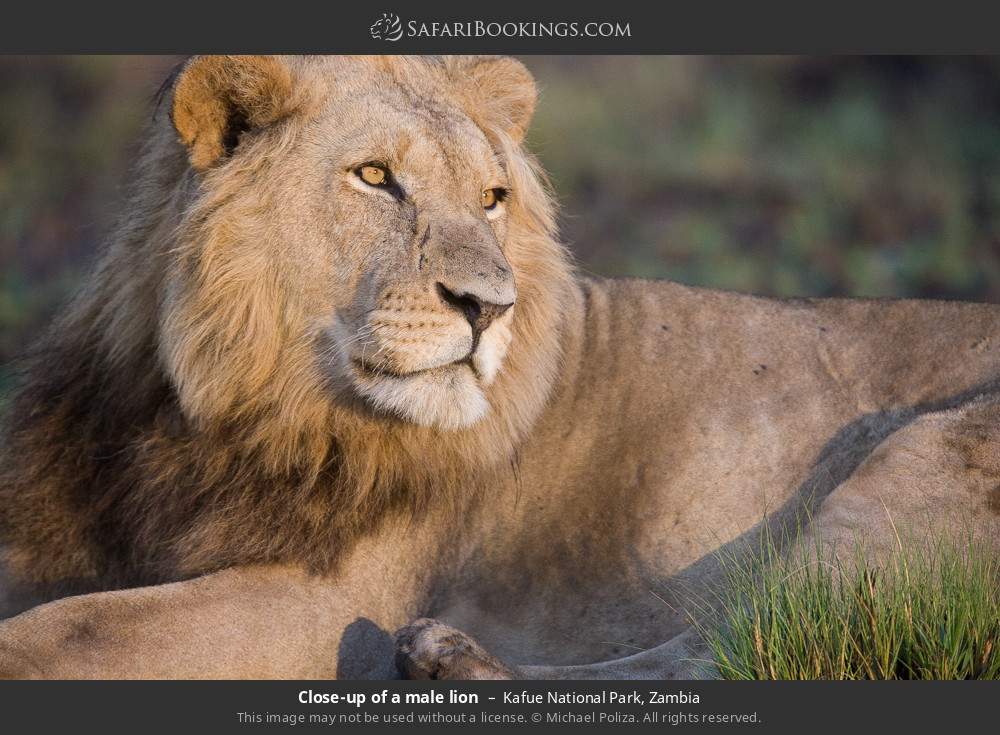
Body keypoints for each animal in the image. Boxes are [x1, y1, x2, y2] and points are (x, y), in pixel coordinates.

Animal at [1, 55, 999, 679]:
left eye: (491, 197)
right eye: (374, 178)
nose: (488, 307)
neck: (204, 409)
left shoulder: (323, 602)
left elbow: (73, 628)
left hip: (913, 470)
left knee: (748, 648)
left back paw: (445, 659)